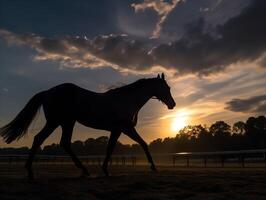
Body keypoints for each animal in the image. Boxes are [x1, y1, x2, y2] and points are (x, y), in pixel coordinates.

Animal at [0, 72, 176, 179]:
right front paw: (153, 166)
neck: (126, 100)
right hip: (56, 122)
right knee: (40, 139)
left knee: (63, 143)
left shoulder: (117, 130)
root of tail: (47, 92)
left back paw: (83, 170)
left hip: (66, 122)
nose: (172, 104)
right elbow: (142, 144)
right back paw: (31, 171)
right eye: (166, 88)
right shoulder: (125, 128)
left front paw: (105, 170)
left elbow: (111, 148)